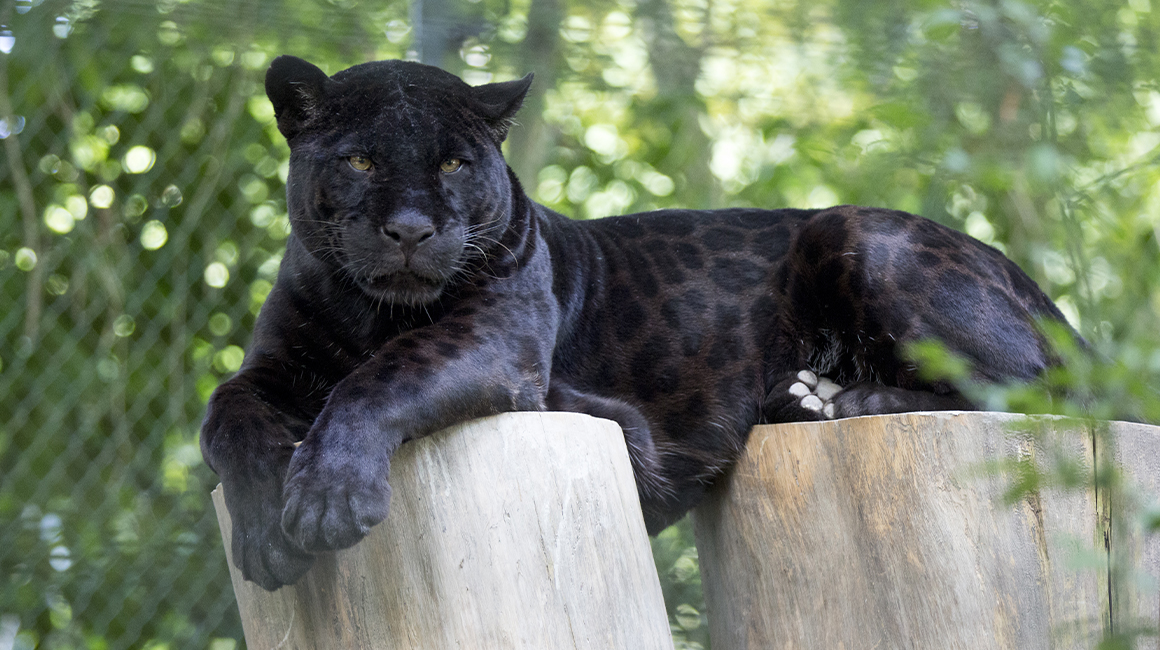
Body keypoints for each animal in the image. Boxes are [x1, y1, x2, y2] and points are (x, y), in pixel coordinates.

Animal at [200, 55, 1078, 591]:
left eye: (453, 162)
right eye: (359, 161)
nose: (412, 229)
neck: (373, 310)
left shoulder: (494, 341)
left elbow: (383, 375)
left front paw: (327, 497)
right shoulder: (269, 365)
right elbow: (225, 411)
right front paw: (266, 525)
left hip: (854, 230)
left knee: (1043, 392)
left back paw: (835, 399)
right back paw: (807, 397)